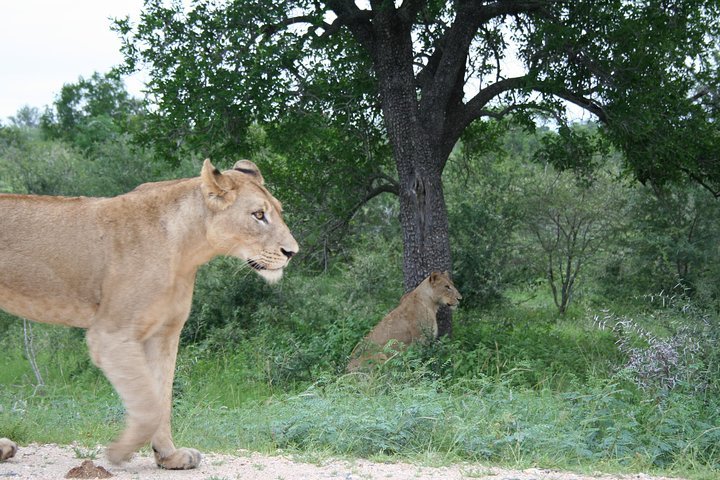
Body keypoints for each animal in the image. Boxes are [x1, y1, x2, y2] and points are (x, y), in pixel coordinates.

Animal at [0, 159, 298, 470]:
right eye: (258, 215)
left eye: (278, 211)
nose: (292, 252)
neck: (187, 251)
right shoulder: (111, 335)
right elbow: (149, 404)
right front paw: (119, 451)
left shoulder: (164, 334)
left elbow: (162, 396)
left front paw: (169, 456)